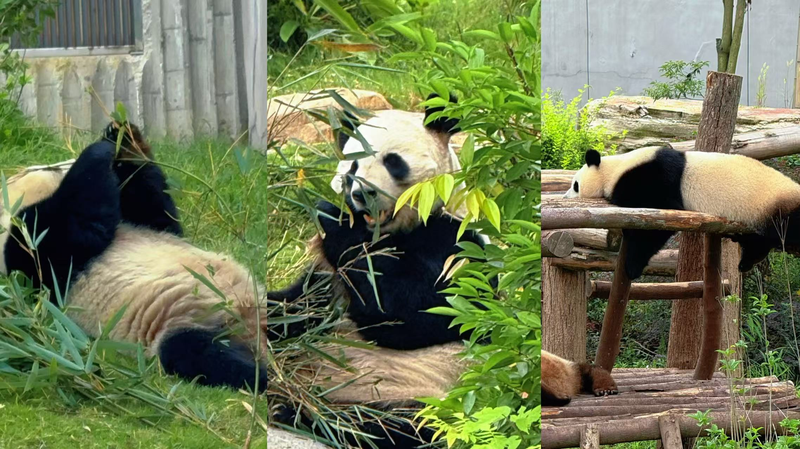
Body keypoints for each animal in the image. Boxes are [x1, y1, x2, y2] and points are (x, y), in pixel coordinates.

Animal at [0, 122, 268, 391]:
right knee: (205, 355)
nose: (63, 162)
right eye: (47, 168)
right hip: (187, 325)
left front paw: (124, 138)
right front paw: (98, 152)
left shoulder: (143, 223)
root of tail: (251, 331)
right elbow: (76, 226)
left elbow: (158, 214)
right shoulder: (33, 257)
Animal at [268, 95, 491, 448]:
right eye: (352, 166)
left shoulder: (457, 244)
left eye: (393, 161)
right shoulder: (327, 279)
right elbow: (296, 306)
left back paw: (302, 413)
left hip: (422, 390)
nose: (362, 194)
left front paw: (333, 219)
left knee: (398, 426)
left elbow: (411, 312)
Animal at [564, 146, 800, 279]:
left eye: (575, 185)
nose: (566, 197)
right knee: (756, 242)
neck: (615, 168)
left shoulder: (654, 177)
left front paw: (632, 268)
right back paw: (745, 261)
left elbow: (657, 221)